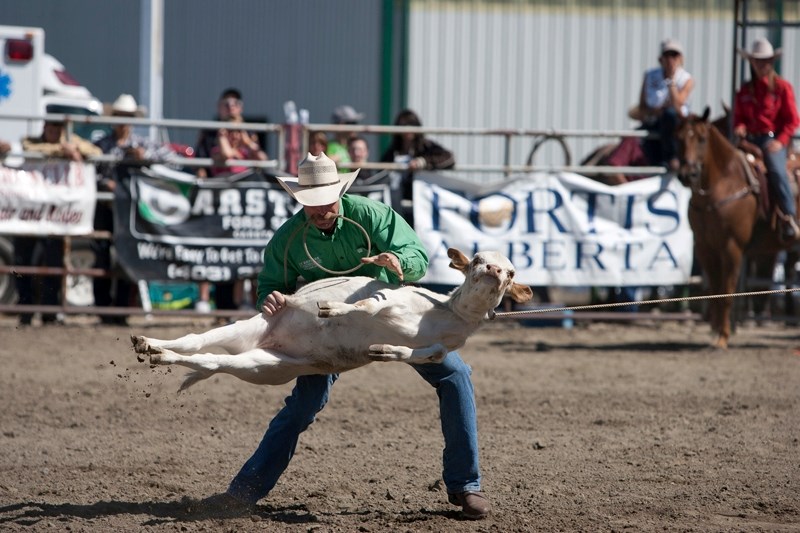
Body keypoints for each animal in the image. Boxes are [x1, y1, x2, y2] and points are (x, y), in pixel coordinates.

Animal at [131, 247, 532, 388]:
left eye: (511, 272)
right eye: (478, 259)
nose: (495, 270)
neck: (446, 313)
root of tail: (267, 338)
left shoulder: (445, 345)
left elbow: (429, 353)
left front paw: (385, 351)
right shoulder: (392, 298)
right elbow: (369, 306)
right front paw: (331, 309)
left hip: (264, 366)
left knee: (212, 361)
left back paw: (156, 354)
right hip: (252, 323)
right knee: (195, 340)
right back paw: (148, 343)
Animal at [676, 107, 800, 350]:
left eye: (702, 139)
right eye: (679, 138)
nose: (687, 174)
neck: (724, 185)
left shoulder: (732, 248)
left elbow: (726, 293)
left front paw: (723, 337)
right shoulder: (705, 248)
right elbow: (714, 291)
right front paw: (715, 331)